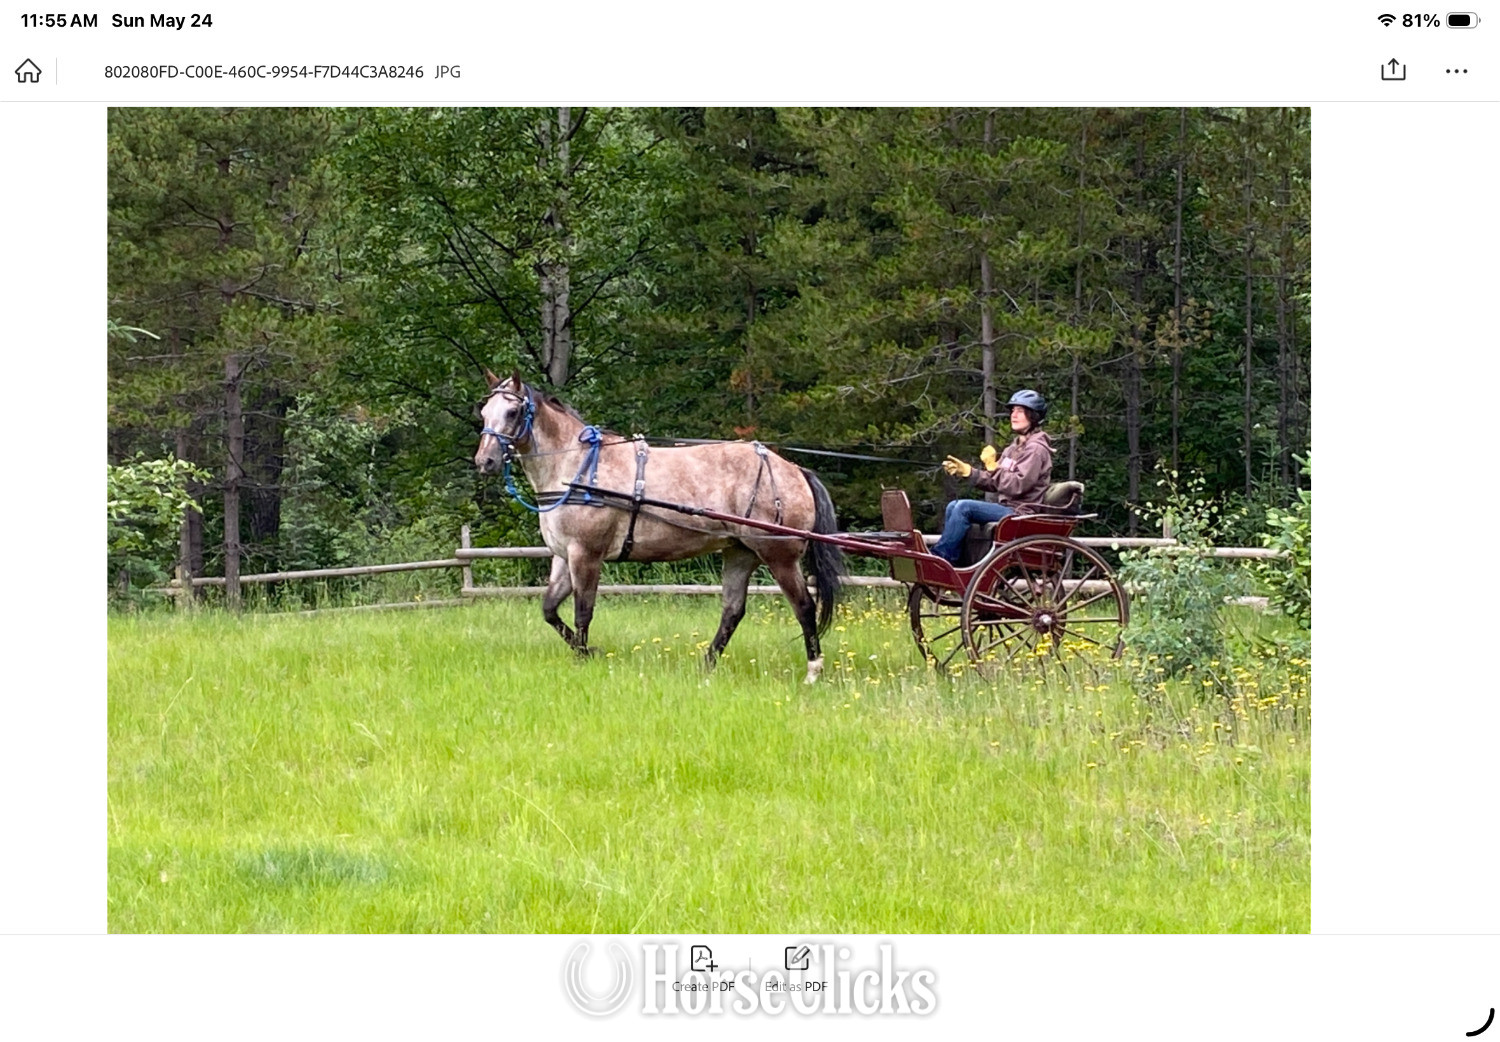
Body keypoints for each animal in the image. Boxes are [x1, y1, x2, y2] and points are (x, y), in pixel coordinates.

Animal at [473, 371, 846, 683]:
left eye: (512, 412)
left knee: (804, 607)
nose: (484, 461)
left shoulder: (586, 555)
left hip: (779, 556)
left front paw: (584, 658)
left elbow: (583, 612)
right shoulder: (564, 557)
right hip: (740, 553)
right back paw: (706, 666)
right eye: (484, 412)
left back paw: (813, 671)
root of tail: (794, 470)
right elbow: (549, 609)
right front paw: (588, 652)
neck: (576, 468)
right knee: (732, 612)